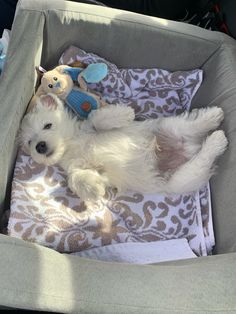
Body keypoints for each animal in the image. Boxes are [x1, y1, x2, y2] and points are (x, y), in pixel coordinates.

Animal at [19, 93, 228, 202]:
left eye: (47, 126)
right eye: (29, 142)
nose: (40, 146)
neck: (72, 144)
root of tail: (190, 147)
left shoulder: (91, 127)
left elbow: (98, 119)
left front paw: (125, 114)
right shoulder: (76, 168)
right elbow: (76, 178)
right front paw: (94, 188)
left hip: (167, 127)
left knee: (193, 127)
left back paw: (214, 120)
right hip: (182, 177)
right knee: (201, 158)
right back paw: (217, 138)